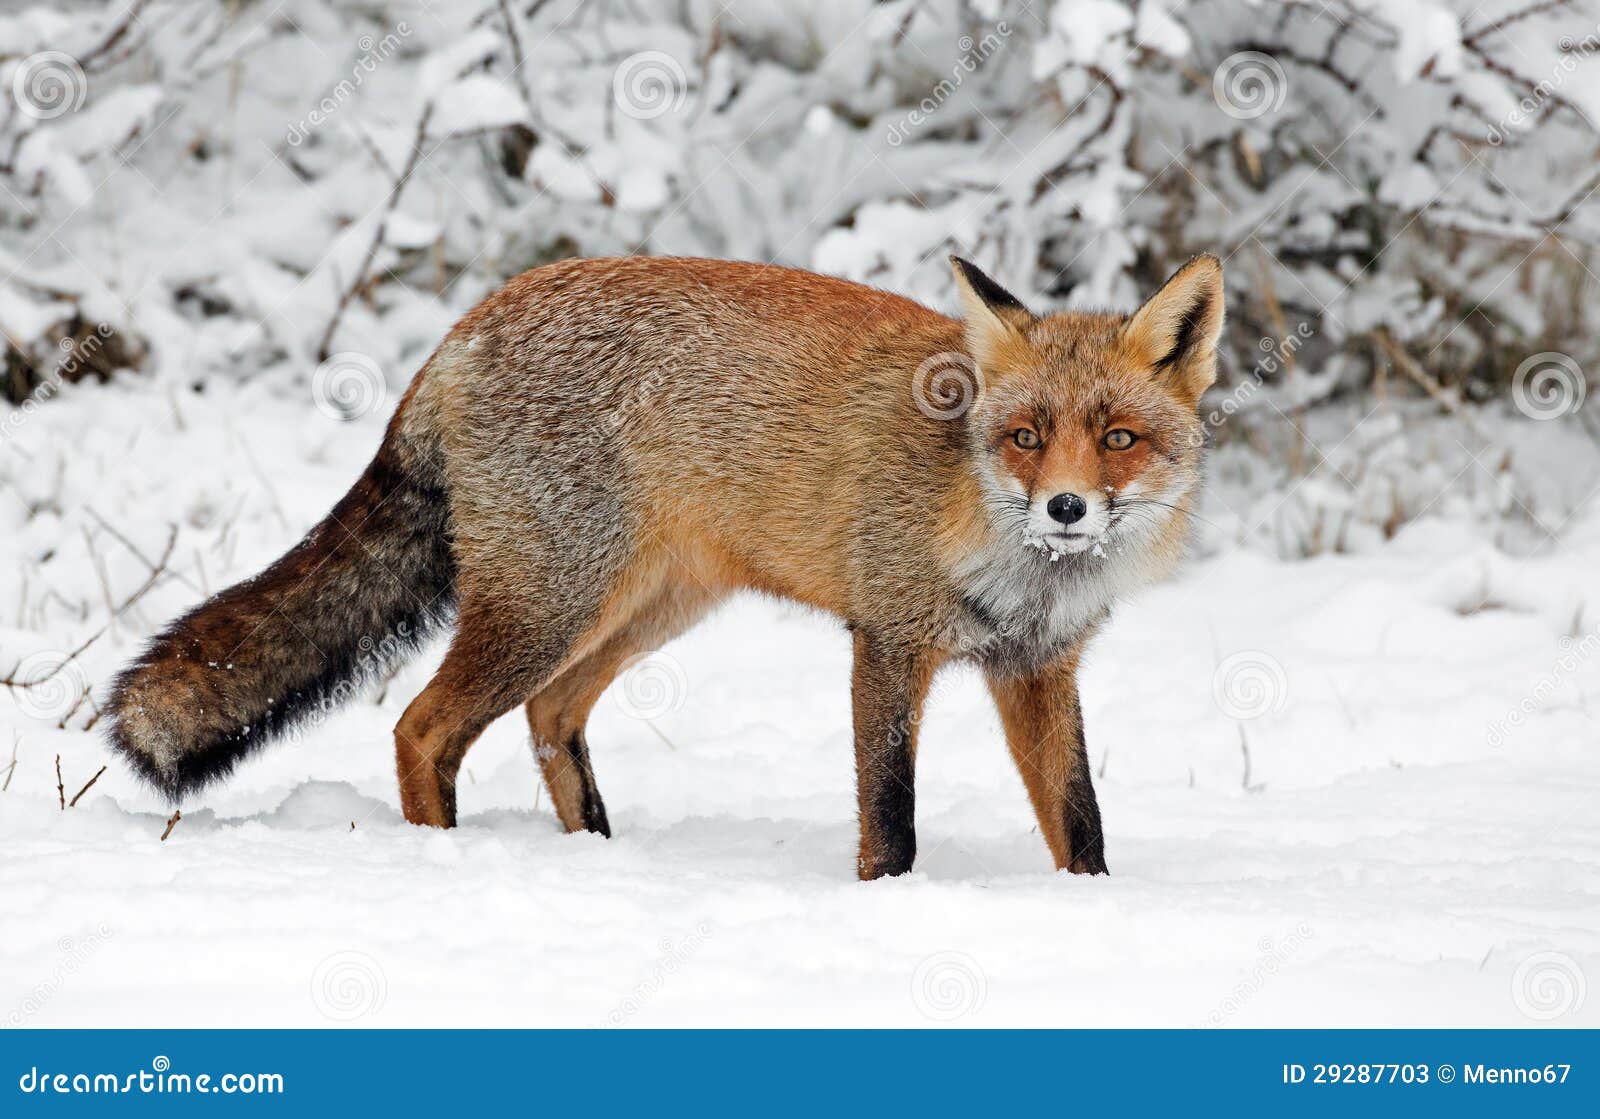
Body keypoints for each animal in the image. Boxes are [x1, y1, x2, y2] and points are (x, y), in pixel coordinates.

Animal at [107, 252, 1223, 879]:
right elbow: (890, 821)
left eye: (1118, 439)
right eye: (1026, 437)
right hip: (549, 604)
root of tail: (471, 323)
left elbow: (1081, 825)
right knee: (422, 726)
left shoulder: (1037, 668)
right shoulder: (887, 644)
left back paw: (597, 855)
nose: (1067, 509)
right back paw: (446, 860)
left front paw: (1087, 912)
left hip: (648, 607)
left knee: (550, 715)